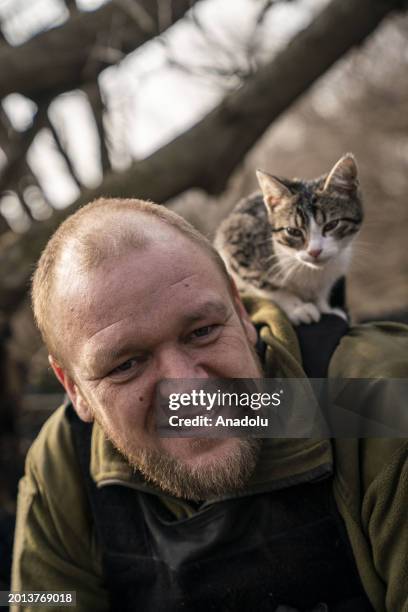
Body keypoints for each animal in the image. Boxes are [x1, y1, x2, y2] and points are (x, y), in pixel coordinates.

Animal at [215, 153, 362, 326]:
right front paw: (297, 308)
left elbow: (321, 291)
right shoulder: (234, 243)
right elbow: (269, 287)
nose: (315, 251)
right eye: (293, 231)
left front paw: (325, 308)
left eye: (332, 225)